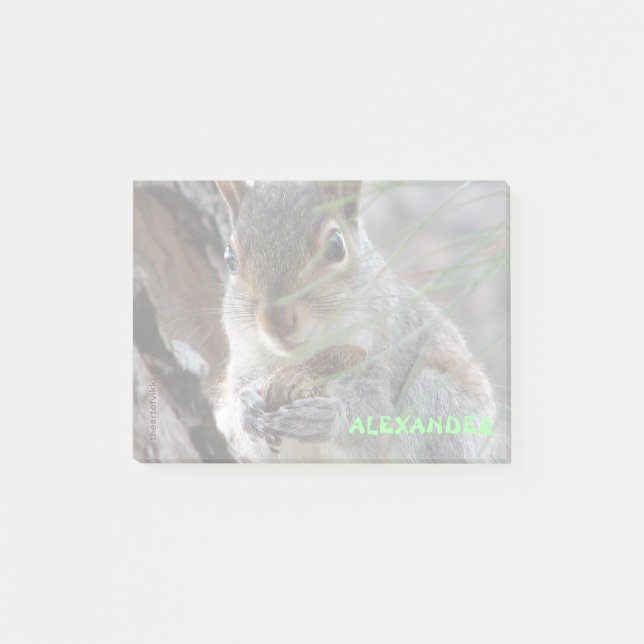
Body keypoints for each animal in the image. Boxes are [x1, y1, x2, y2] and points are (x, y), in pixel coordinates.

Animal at [214, 181, 497, 462]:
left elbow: (373, 414)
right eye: (229, 257)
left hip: (440, 401)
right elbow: (238, 404)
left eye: (336, 246)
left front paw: (326, 419)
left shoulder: (380, 350)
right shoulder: (245, 355)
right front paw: (245, 408)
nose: (276, 322)